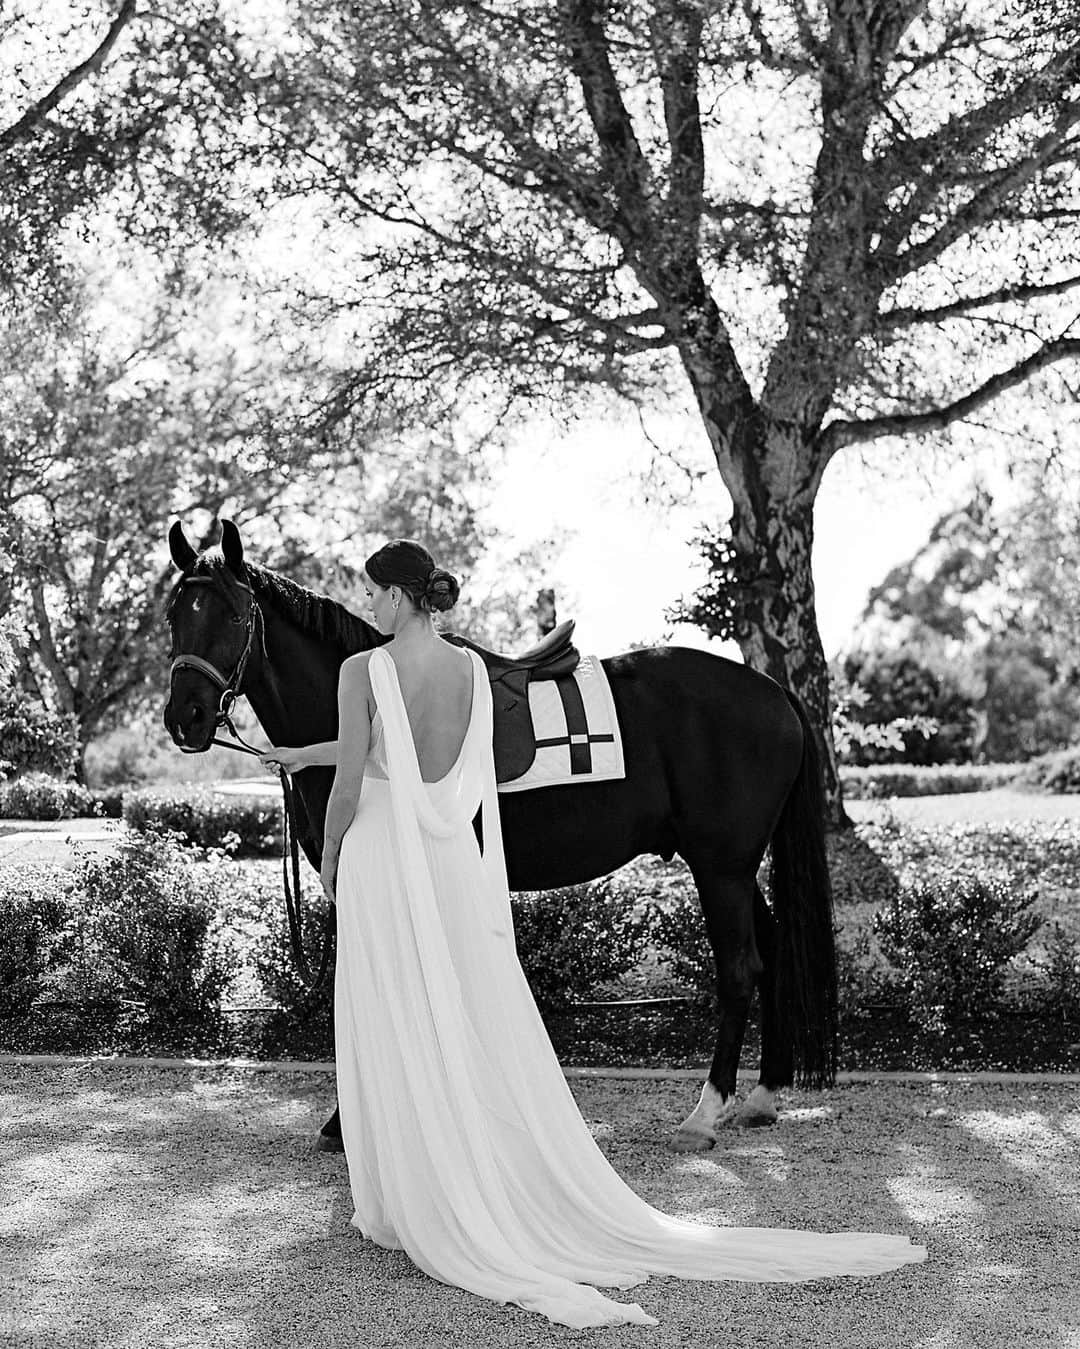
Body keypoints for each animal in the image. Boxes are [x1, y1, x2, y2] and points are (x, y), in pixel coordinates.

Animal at [162, 520, 835, 1154]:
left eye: (232, 614)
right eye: (175, 614)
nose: (184, 718)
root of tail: (773, 690)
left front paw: (351, 1123)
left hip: (720, 867)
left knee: (741, 969)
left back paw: (704, 1112)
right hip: (734, 868)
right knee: (772, 954)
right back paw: (763, 1095)